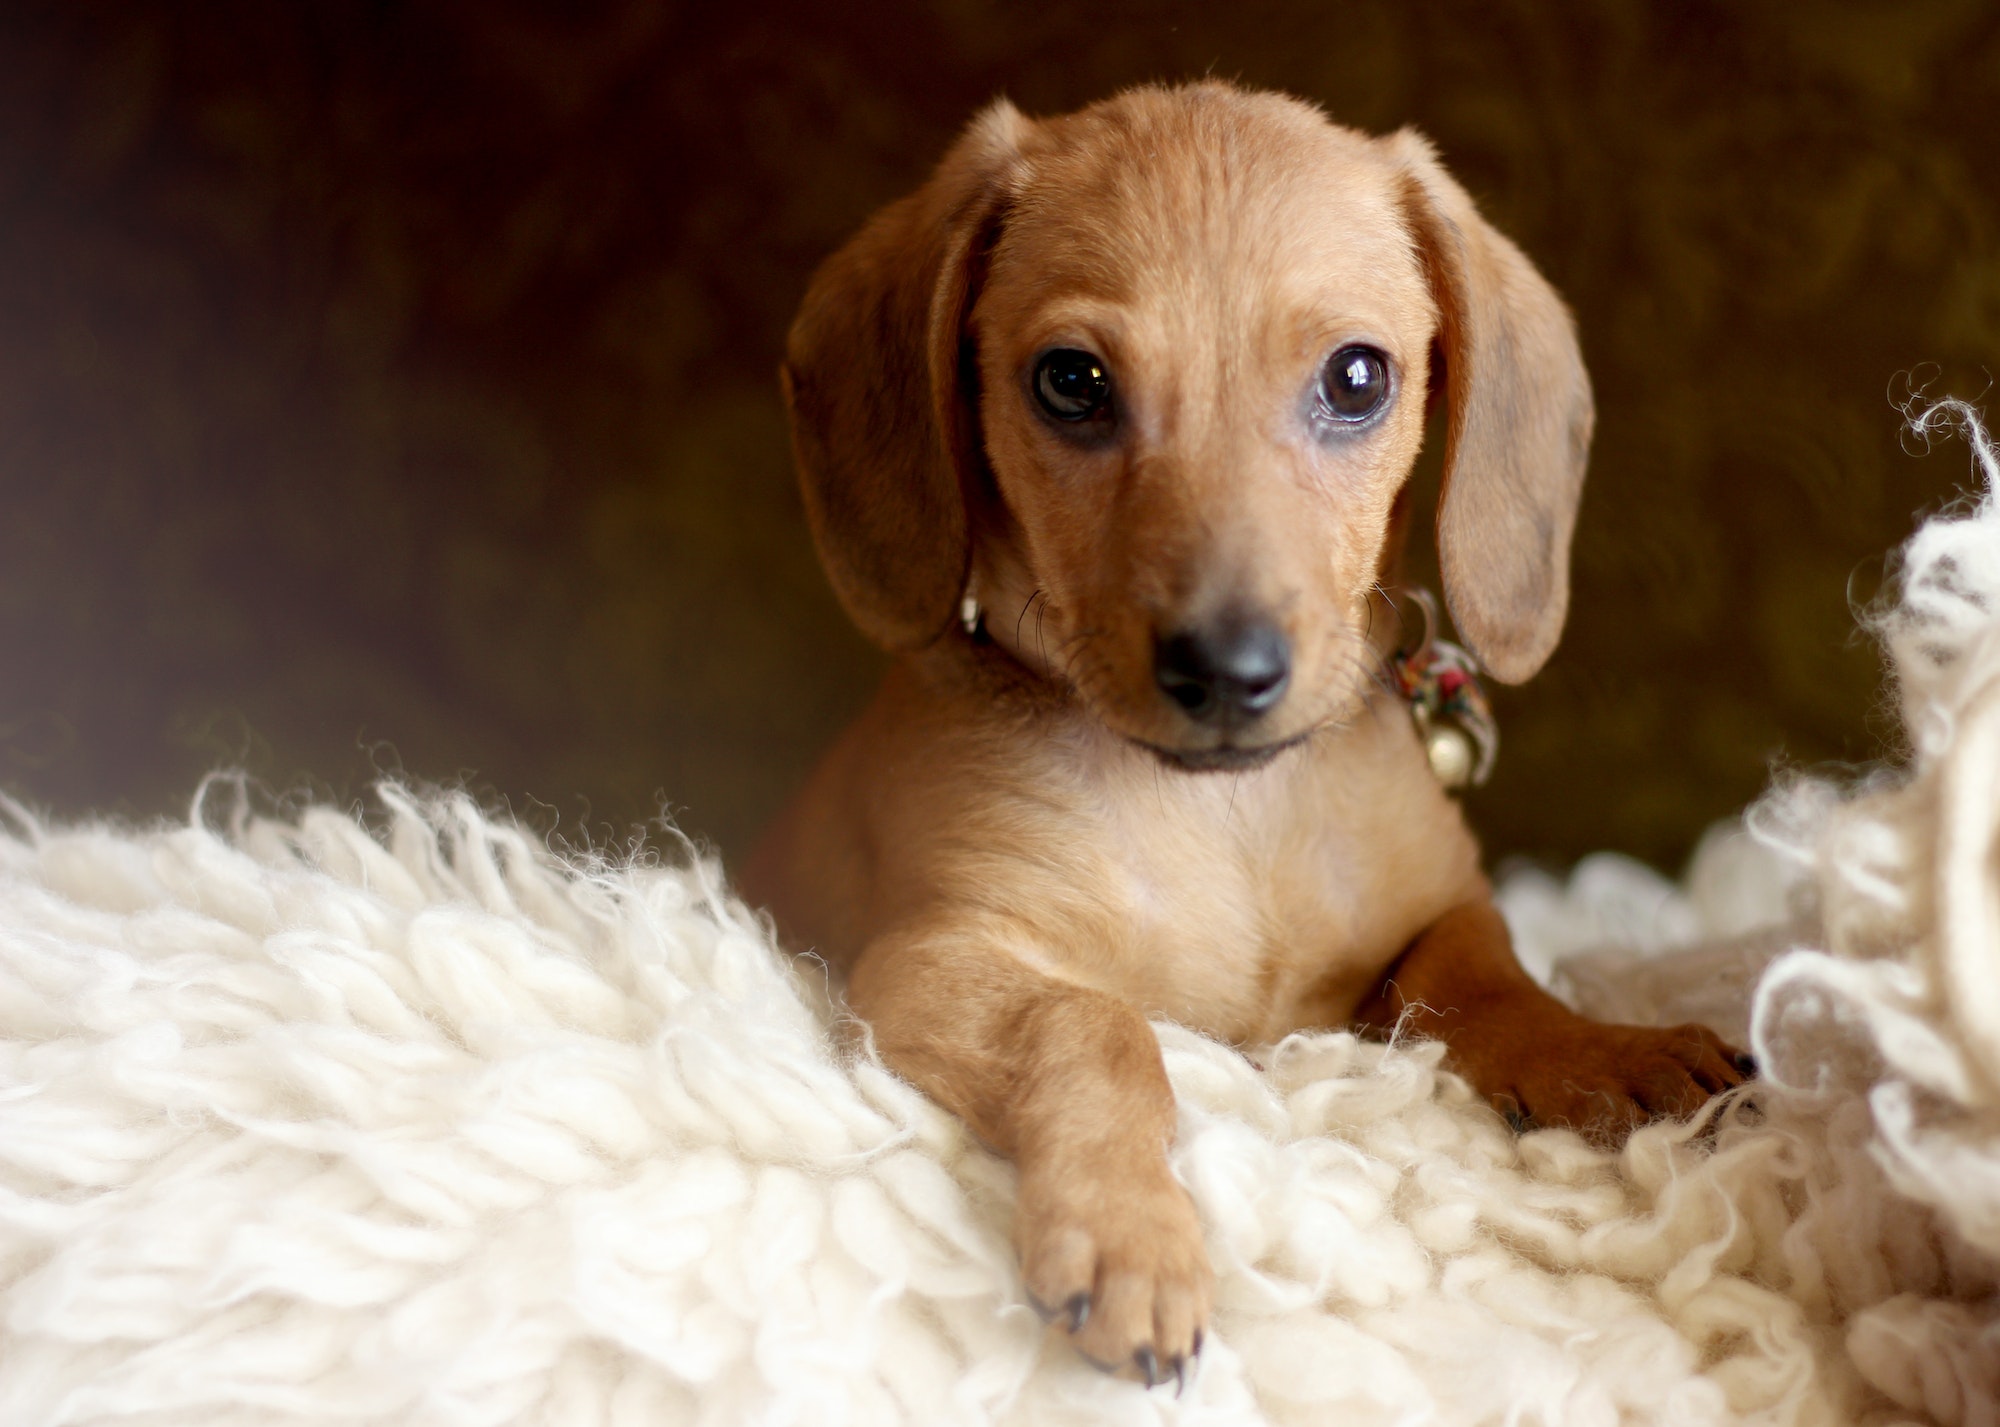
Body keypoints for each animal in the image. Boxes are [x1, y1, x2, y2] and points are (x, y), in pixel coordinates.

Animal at [740, 83, 1752, 1383]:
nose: (1226, 671)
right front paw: (1129, 1233)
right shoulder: (927, 961)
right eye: (1070, 381)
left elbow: (1483, 977)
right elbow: (1097, 1024)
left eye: (1357, 377)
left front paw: (1601, 1050)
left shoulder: (1441, 909)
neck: (1229, 814)